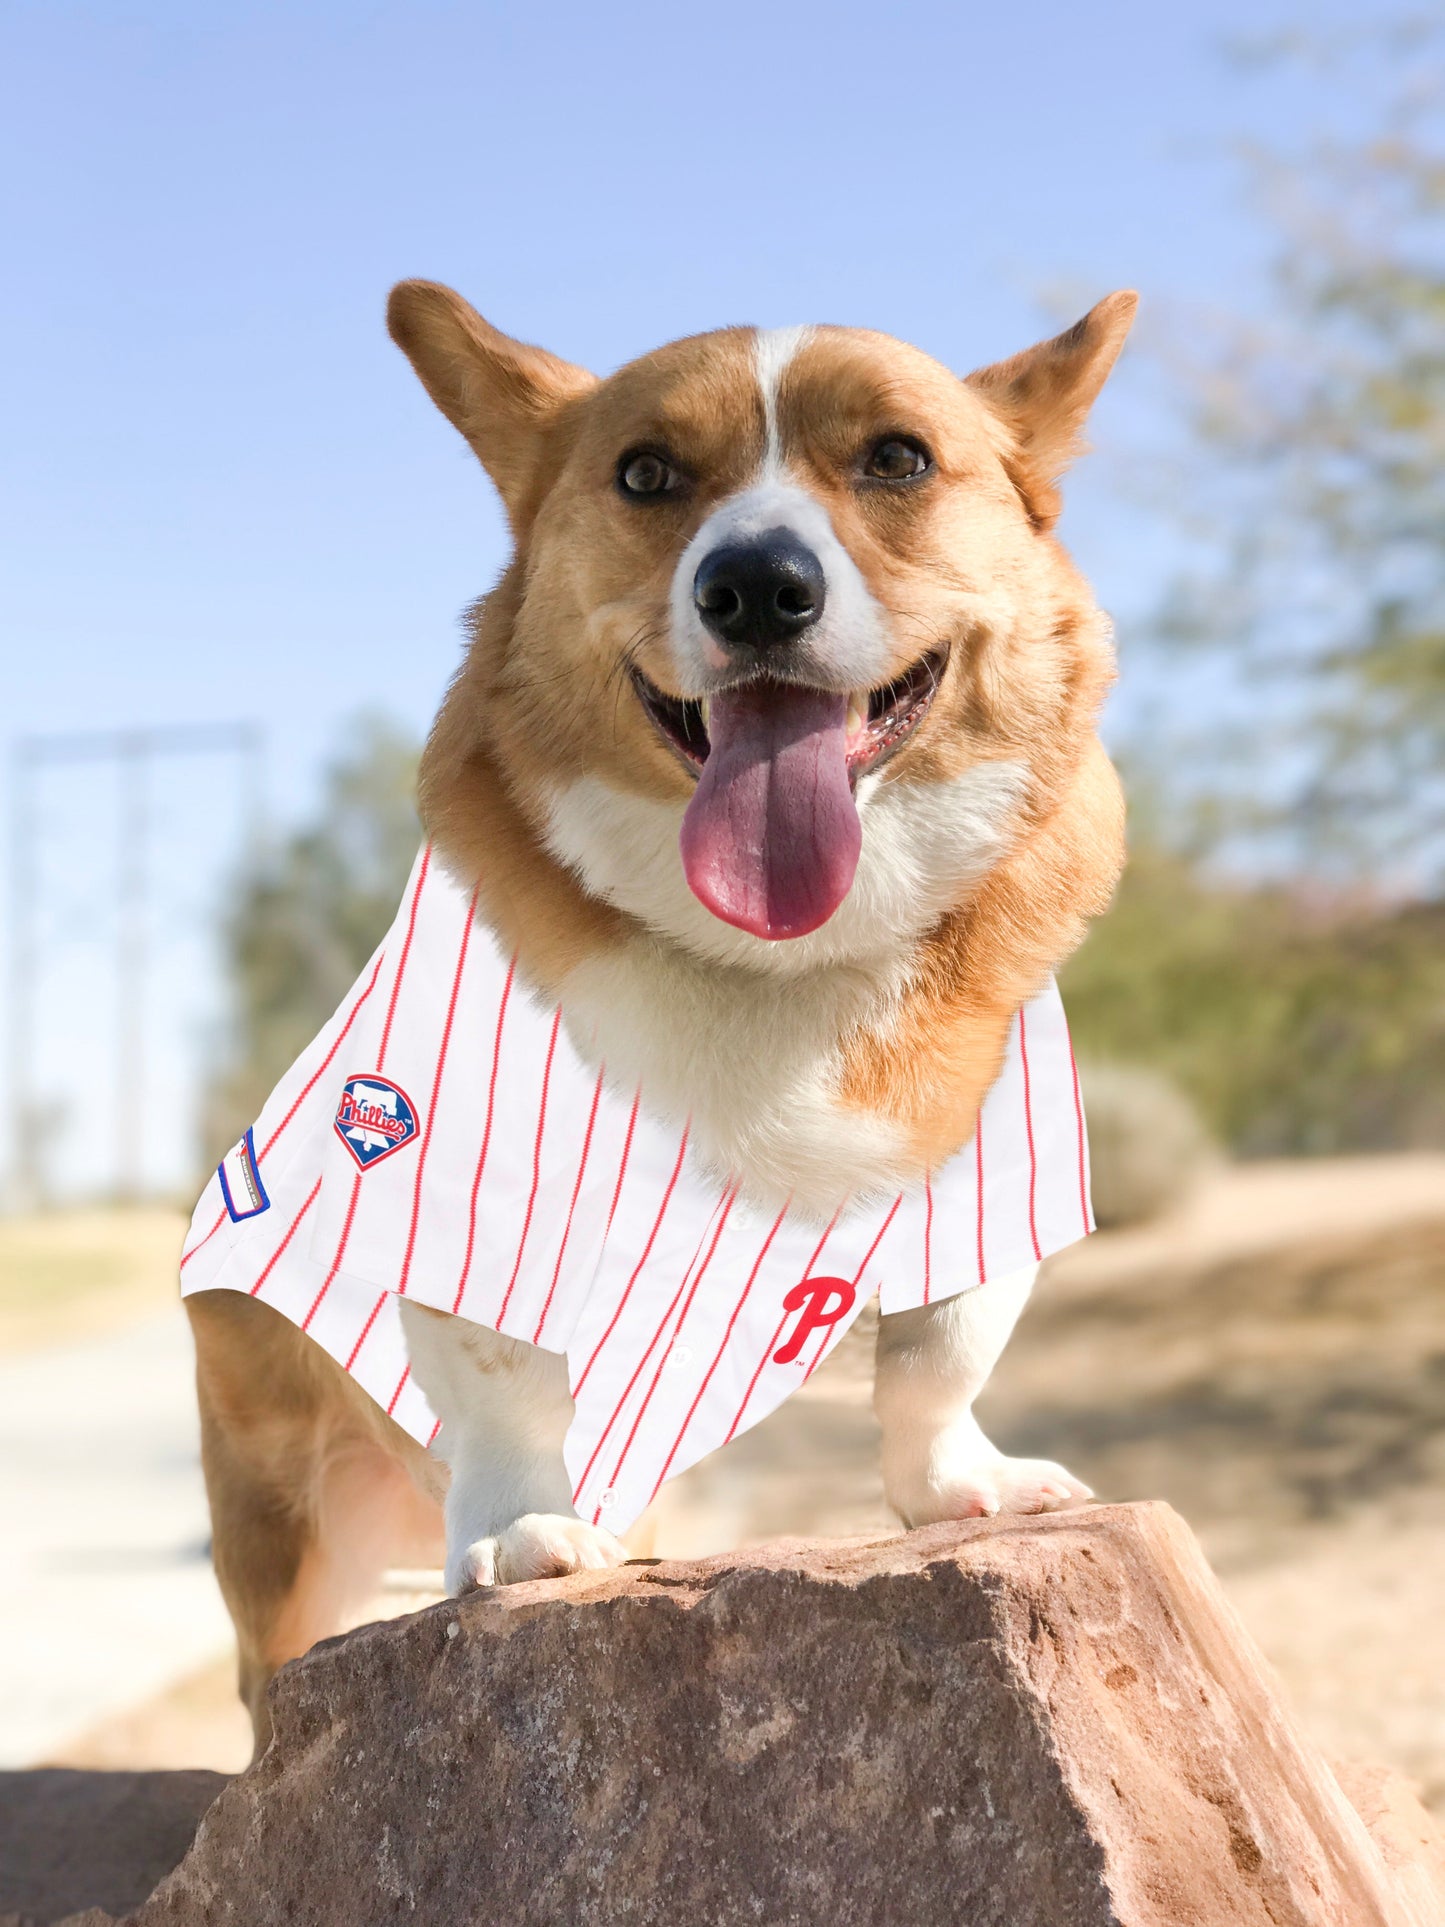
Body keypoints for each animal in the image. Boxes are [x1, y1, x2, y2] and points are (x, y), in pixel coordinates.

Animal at [183, 281, 1132, 1749]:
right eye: (644, 475)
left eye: (898, 458)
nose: (756, 587)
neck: (778, 960)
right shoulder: (451, 1181)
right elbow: (506, 1374)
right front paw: (523, 1531)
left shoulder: (989, 1173)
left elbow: (943, 1351)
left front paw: (952, 1484)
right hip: (284, 1512)